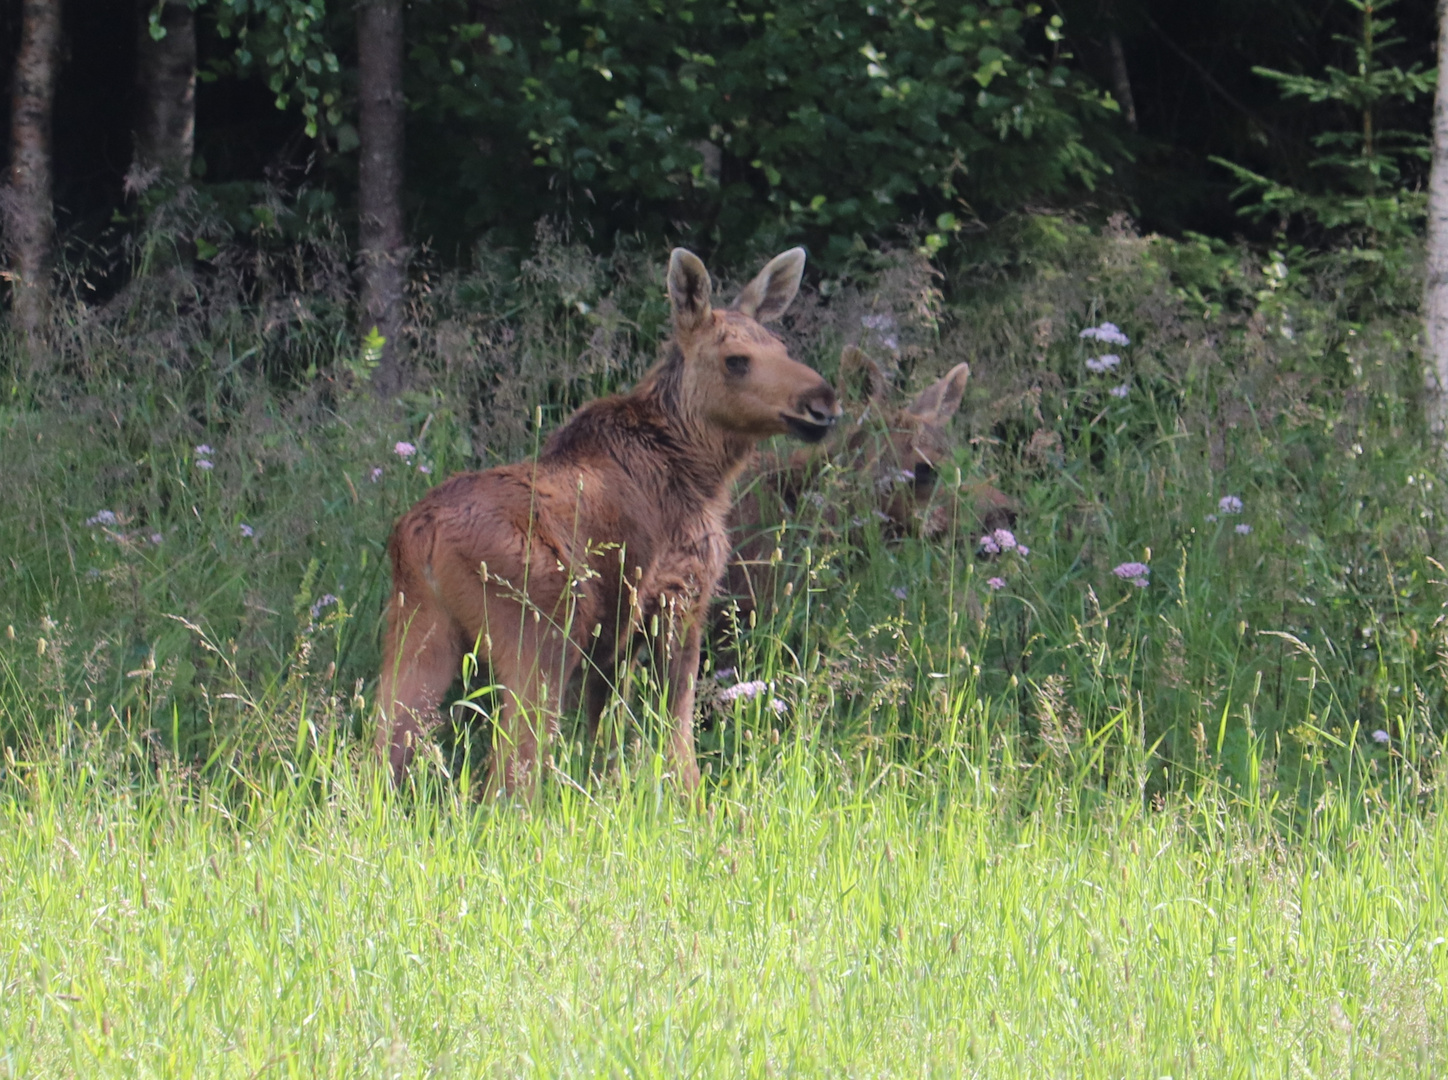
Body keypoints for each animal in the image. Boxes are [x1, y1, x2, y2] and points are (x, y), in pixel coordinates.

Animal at [379, 247, 845, 793]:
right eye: (736, 360)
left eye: (782, 346)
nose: (822, 401)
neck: (704, 473)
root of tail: (422, 537)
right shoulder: (679, 596)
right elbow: (677, 727)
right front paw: (692, 800)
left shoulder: (613, 638)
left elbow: (603, 731)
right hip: (540, 634)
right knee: (509, 773)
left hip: (419, 628)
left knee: (381, 755)